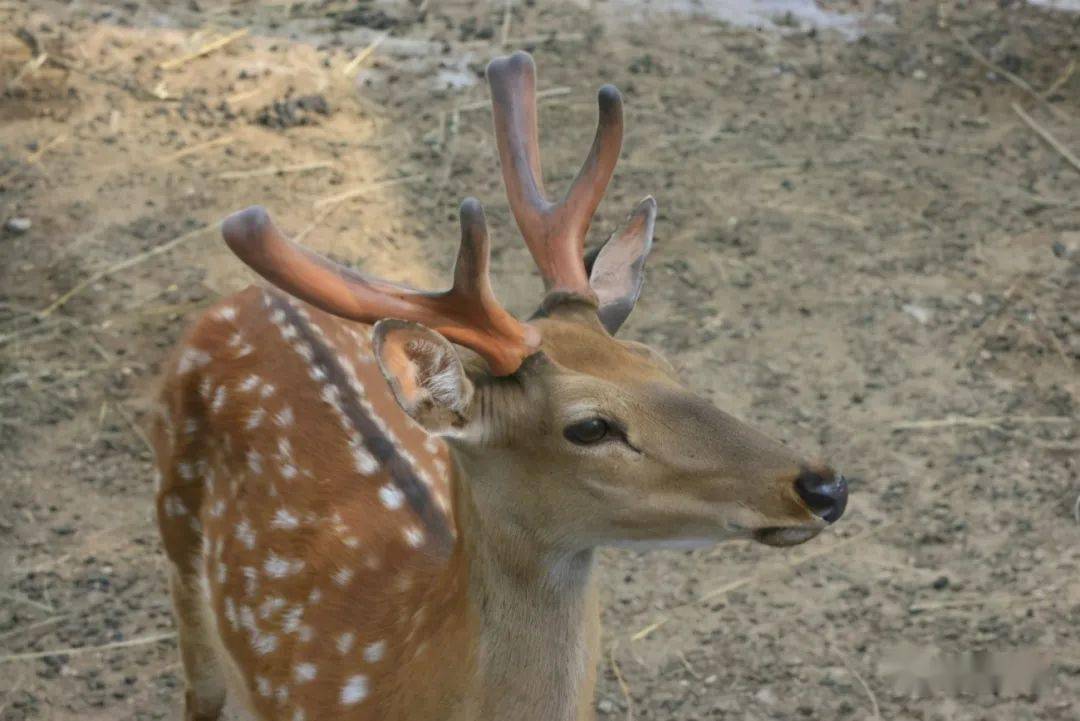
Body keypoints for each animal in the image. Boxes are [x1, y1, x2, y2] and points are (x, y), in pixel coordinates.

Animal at [152, 52, 846, 721]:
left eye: (658, 360)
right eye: (588, 426)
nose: (824, 486)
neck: (398, 681)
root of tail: (247, 297)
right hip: (179, 542)